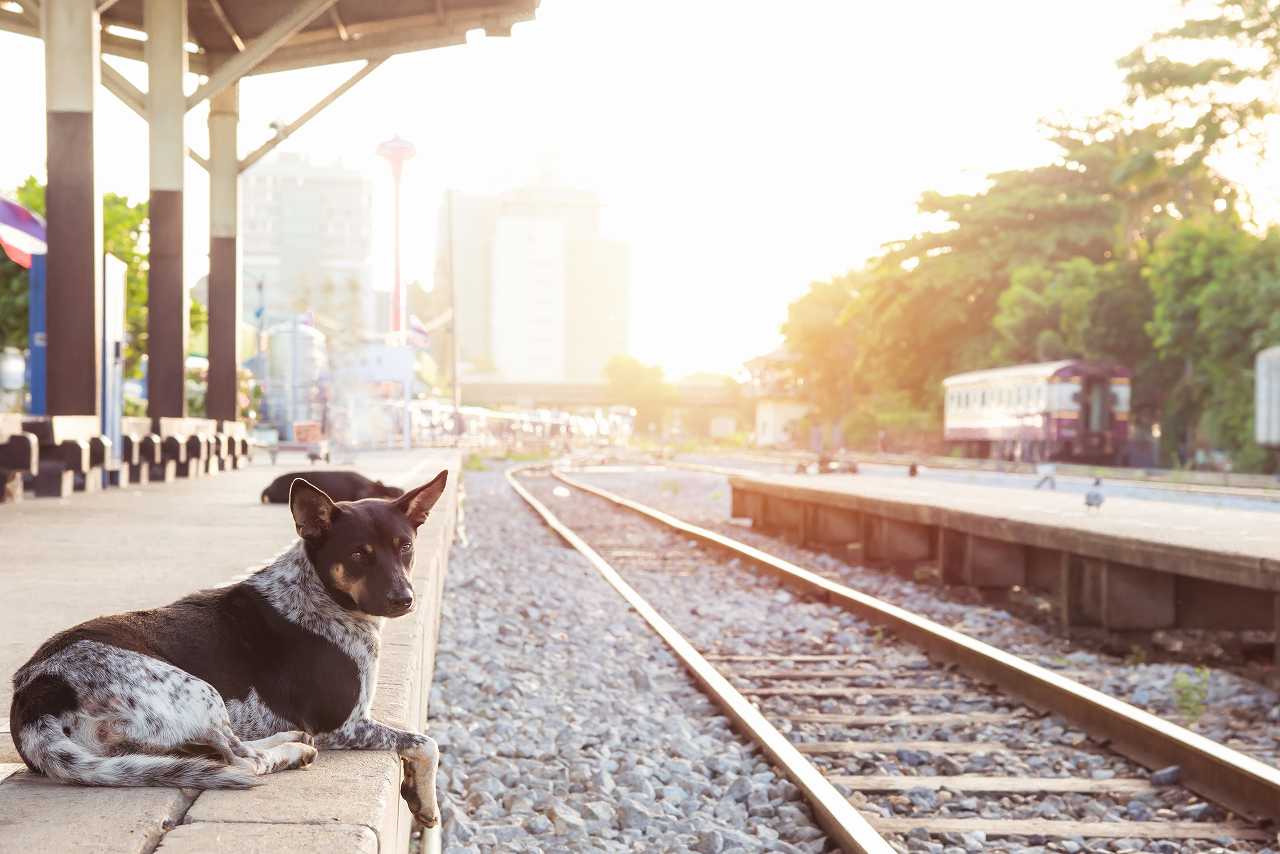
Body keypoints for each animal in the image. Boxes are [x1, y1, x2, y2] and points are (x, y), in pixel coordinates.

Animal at [8, 473, 450, 829]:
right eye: (358, 553)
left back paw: (288, 737)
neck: (319, 594)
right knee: (242, 760)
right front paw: (427, 804)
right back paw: (292, 751)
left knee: (224, 750)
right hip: (200, 690)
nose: (405, 600)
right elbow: (426, 743)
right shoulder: (344, 724)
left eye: (405, 546)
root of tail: (37, 693)